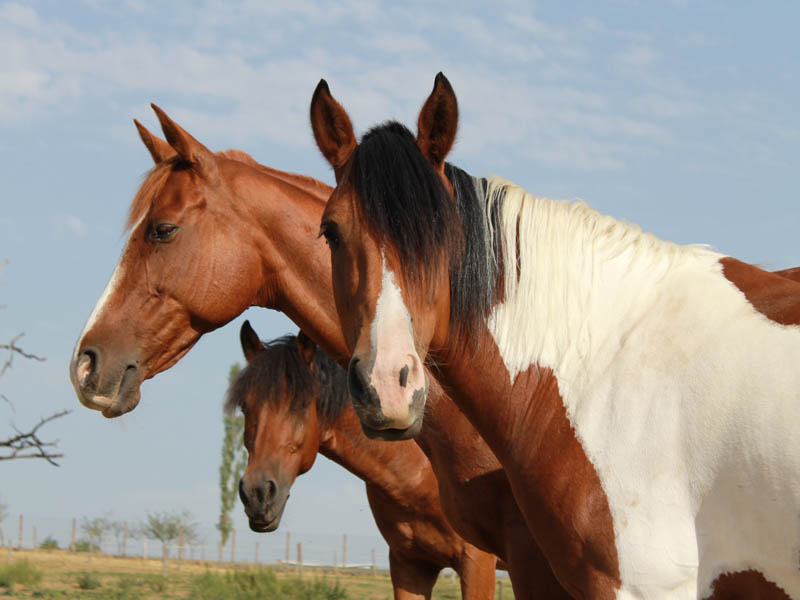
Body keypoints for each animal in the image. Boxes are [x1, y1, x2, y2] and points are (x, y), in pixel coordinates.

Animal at [228, 324, 496, 600]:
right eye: (245, 407)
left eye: (301, 404)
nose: (257, 494)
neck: (424, 470)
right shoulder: (409, 563)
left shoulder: (476, 562)